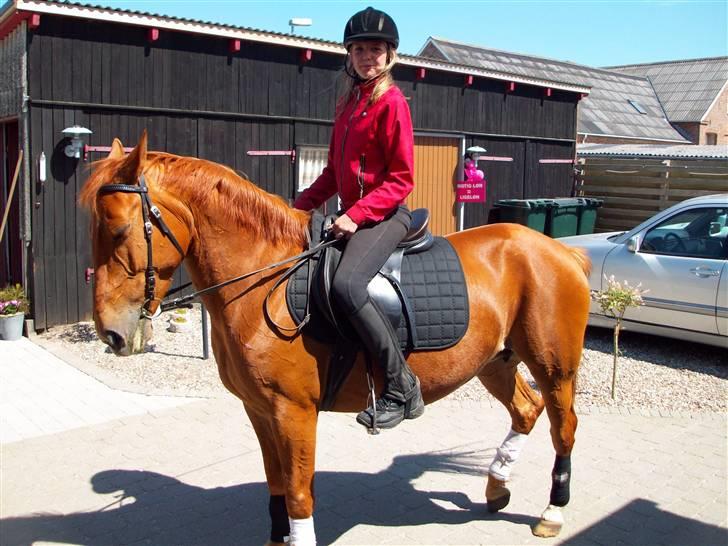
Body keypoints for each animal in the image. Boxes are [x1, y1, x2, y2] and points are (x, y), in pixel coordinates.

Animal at [80, 133, 591, 545]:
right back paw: (497, 485)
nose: (110, 333)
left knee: (563, 426)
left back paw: (552, 511)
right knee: (526, 410)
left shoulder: (294, 411)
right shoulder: (259, 410)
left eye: (120, 230)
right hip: (496, 361)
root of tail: (560, 250)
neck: (265, 280)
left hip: (554, 366)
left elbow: (298, 493)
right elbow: (276, 485)